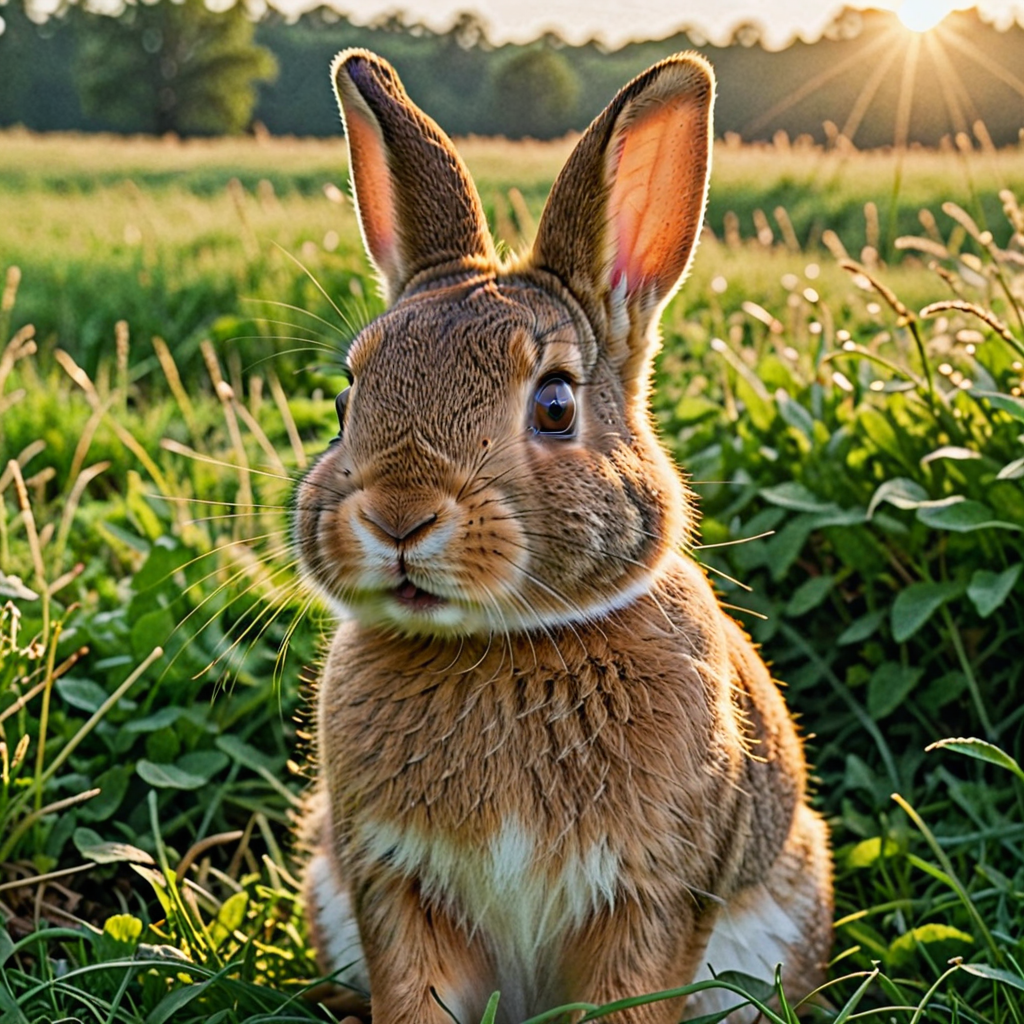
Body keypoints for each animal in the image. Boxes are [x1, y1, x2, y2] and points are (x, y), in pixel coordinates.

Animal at [294, 48, 831, 1024]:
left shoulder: (653, 894)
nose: (398, 515)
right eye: (346, 402)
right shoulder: (393, 884)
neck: (500, 645)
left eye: (554, 405)